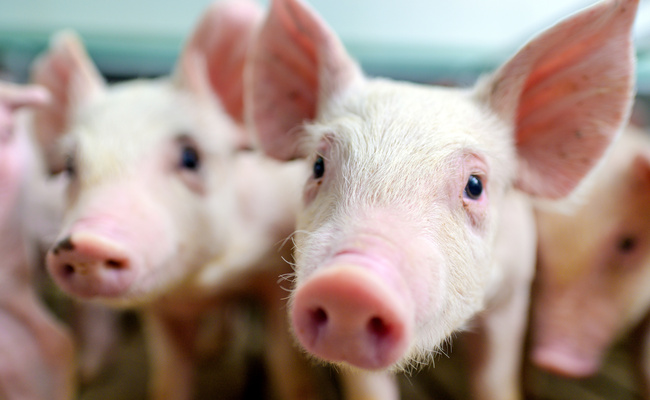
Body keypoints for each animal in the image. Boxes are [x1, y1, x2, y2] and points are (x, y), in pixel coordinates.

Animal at [29, 1, 326, 399]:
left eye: (190, 157)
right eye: (70, 166)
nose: (85, 243)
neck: (201, 283)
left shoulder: (272, 271)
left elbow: (286, 362)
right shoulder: (160, 309)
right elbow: (169, 373)